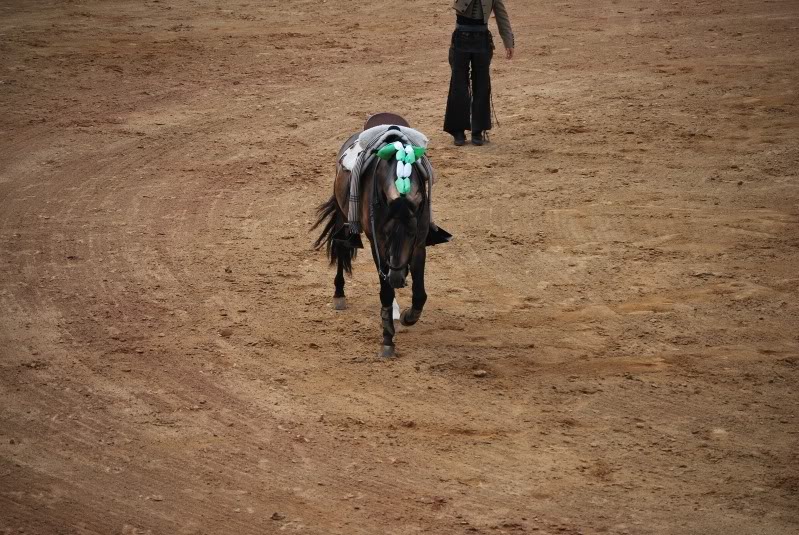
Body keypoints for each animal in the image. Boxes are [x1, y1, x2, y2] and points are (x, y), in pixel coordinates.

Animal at [314, 120, 438, 358]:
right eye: (387, 233)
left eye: (411, 233)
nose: (398, 278)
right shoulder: (378, 245)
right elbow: (386, 292)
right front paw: (388, 339)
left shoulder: (419, 245)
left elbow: (420, 294)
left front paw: (408, 316)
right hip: (343, 218)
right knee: (341, 248)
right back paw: (339, 294)